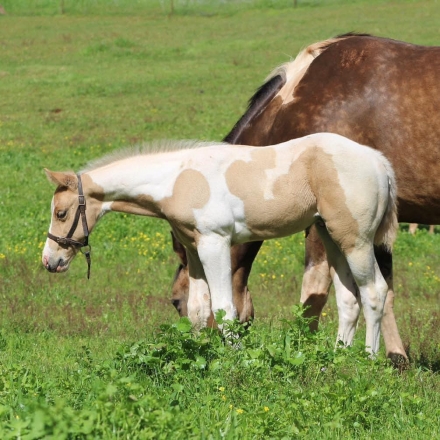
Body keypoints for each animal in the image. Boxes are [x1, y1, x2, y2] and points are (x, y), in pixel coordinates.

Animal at [42, 133, 398, 354]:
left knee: (374, 293)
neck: (177, 179)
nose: (50, 261)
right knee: (348, 299)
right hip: (330, 236)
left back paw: (367, 359)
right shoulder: (194, 249)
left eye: (61, 213)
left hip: (356, 242)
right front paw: (200, 355)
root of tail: (379, 161)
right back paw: (336, 360)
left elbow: (225, 308)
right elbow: (198, 310)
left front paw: (237, 361)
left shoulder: (215, 243)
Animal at [171, 33, 440, 360]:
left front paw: (307, 353)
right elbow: (383, 290)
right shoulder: (373, 228)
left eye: (175, 302)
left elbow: (315, 293)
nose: (198, 350)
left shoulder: (327, 222)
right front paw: (395, 357)